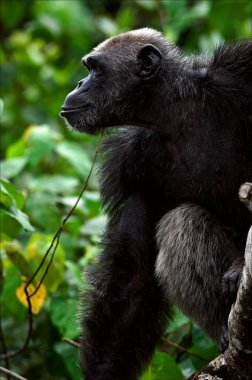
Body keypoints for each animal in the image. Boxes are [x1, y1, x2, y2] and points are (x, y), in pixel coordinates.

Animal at [60, 28, 251, 378]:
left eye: (95, 69)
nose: (79, 83)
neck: (177, 113)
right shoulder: (133, 168)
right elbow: (131, 279)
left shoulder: (241, 74)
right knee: (183, 223)